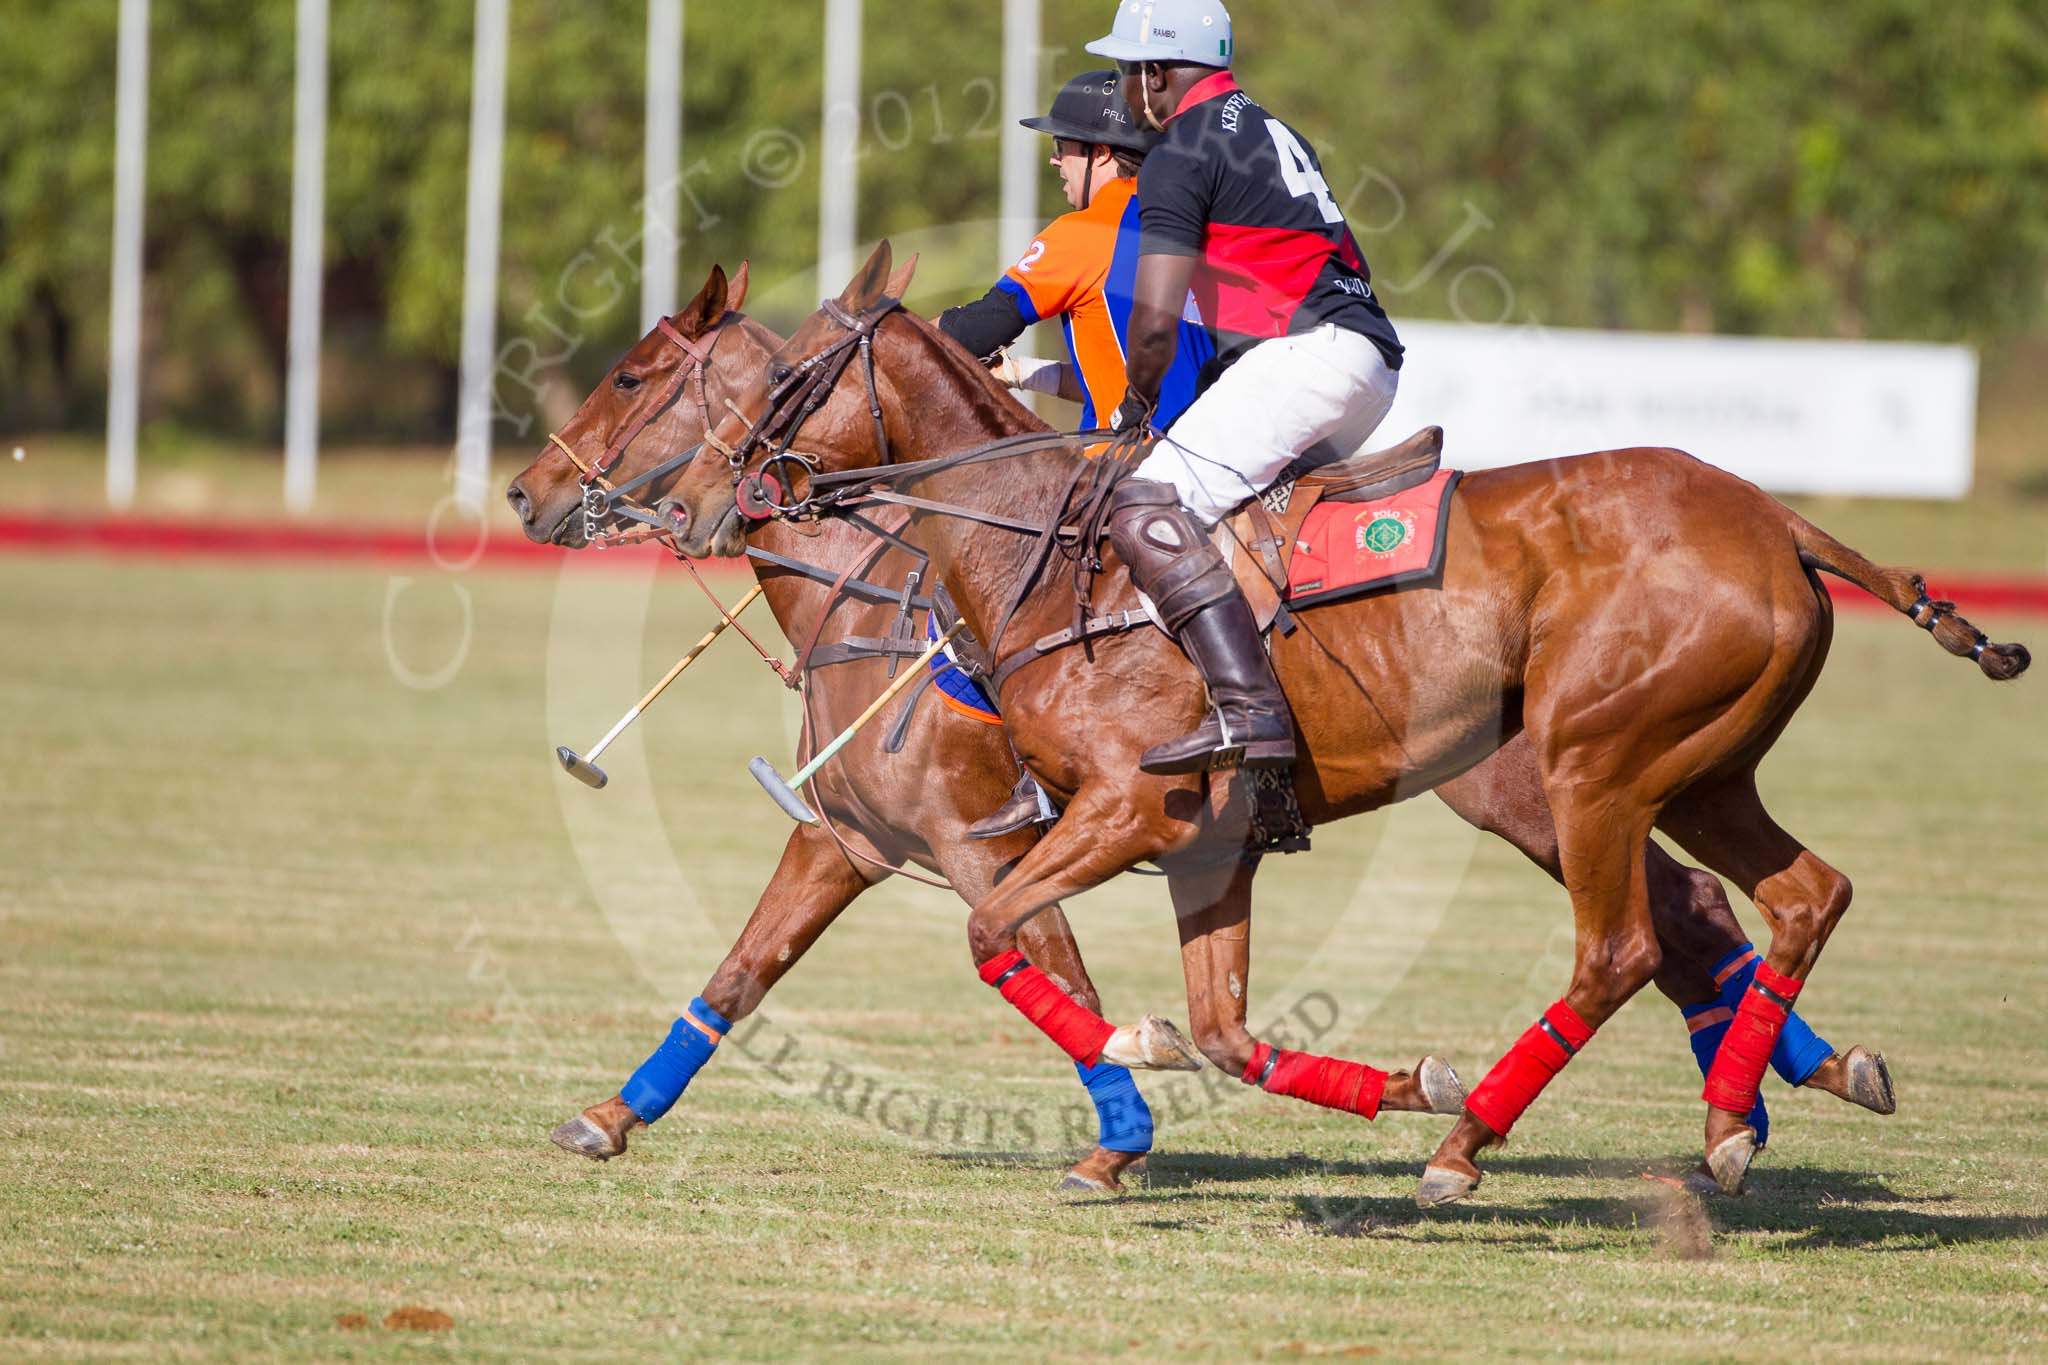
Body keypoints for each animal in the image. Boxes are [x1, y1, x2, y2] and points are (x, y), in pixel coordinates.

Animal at [655, 245, 2015, 1203]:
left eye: (780, 378)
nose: (719, 498)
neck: (1031, 558)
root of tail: (1779, 520)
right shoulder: (1201, 845)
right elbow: (1219, 1028)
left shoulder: (1127, 802)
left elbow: (1002, 936)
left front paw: (1139, 1060)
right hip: (1698, 769)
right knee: (1799, 895)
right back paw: (1732, 1119)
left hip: (1592, 765)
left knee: (1623, 946)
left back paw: (1471, 1145)